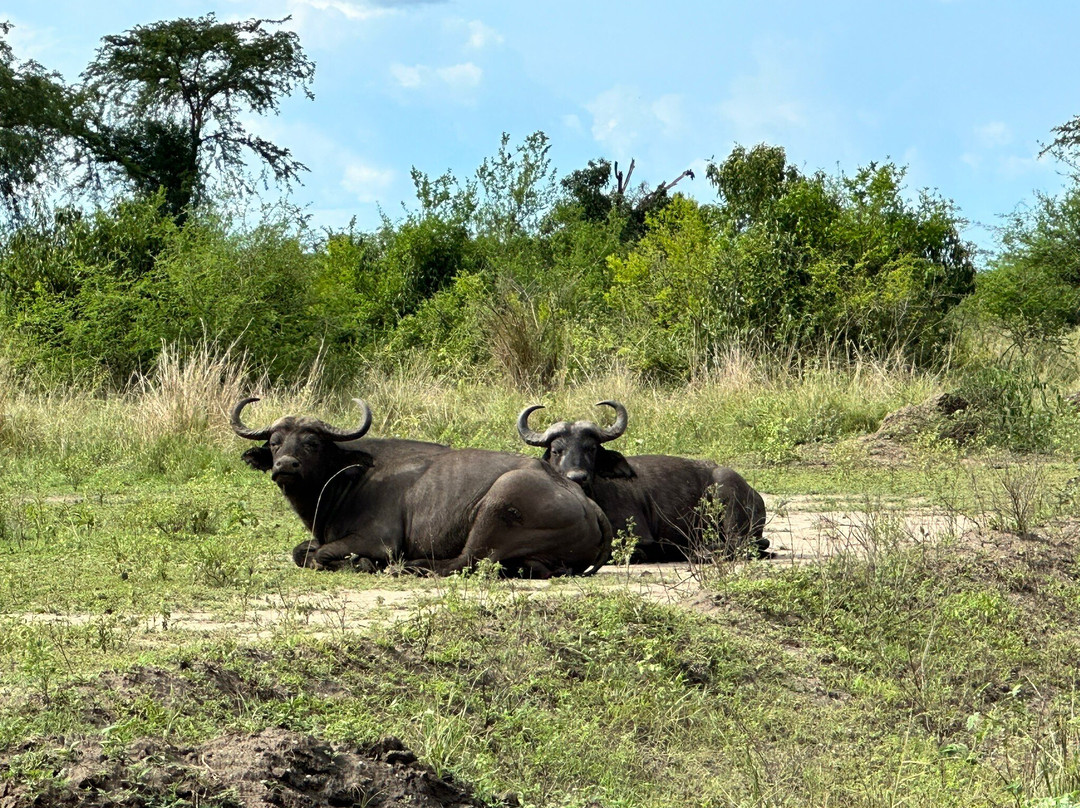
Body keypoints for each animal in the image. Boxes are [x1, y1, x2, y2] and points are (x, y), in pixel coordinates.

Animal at [233, 395, 613, 574]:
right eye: (275, 443)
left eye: (311, 443)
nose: (285, 466)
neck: (347, 477)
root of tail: (587, 503)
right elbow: (301, 551)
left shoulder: (378, 541)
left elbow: (319, 554)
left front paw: (361, 564)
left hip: (499, 504)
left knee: (464, 562)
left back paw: (409, 567)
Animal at [516, 399, 764, 561]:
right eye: (556, 450)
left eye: (591, 448)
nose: (578, 477)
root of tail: (755, 494)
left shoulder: (639, 534)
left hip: (726, 495)